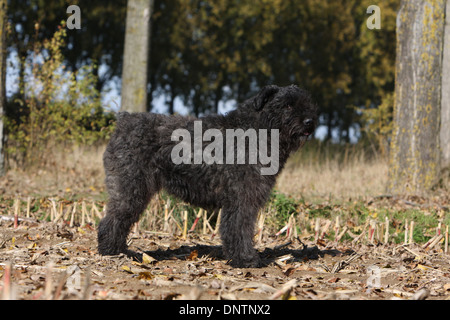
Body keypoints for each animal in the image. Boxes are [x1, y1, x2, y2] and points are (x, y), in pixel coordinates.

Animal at [97, 85, 316, 268]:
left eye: (307, 103)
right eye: (287, 105)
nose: (309, 121)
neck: (258, 130)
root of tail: (124, 120)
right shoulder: (242, 198)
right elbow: (238, 227)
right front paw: (245, 259)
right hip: (131, 188)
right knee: (114, 219)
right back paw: (111, 251)